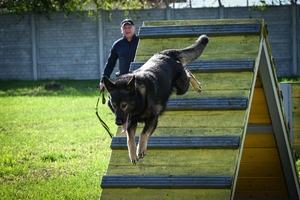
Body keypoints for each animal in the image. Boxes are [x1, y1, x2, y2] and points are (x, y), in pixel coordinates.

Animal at [103, 35, 209, 164]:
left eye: (124, 105)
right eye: (113, 106)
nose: (118, 122)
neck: (139, 98)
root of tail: (165, 54)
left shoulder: (153, 118)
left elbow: (143, 133)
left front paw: (140, 150)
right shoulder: (131, 122)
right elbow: (130, 139)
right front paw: (133, 154)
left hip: (181, 87)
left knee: (187, 72)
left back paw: (197, 85)